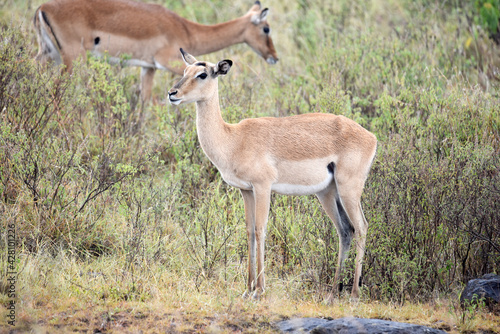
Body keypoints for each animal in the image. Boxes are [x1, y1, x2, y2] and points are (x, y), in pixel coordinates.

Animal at [33, 0, 280, 101]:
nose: (275, 57)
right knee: (56, 91)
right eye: (266, 28)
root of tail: (42, 8)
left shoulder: (148, 67)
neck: (187, 30)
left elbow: (144, 102)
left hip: (49, 55)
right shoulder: (170, 63)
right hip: (73, 59)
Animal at [166, 49, 376, 300]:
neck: (234, 139)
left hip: (349, 190)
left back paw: (354, 294)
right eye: (185, 70)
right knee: (345, 231)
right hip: (327, 193)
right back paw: (332, 294)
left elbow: (260, 230)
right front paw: (247, 290)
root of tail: (371, 136)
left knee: (362, 227)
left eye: (203, 74)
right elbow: (249, 231)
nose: (172, 93)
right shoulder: (246, 190)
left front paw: (259, 290)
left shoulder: (263, 186)